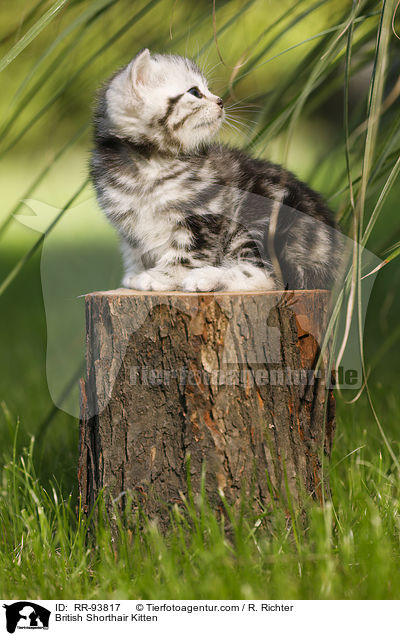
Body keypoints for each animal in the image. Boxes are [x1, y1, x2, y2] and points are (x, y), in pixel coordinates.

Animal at [90, 49, 340, 294]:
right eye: (195, 92)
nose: (220, 101)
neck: (150, 166)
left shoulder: (205, 214)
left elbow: (190, 252)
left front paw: (164, 276)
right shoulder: (128, 226)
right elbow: (135, 251)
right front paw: (135, 274)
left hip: (259, 221)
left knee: (266, 275)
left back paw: (208, 277)